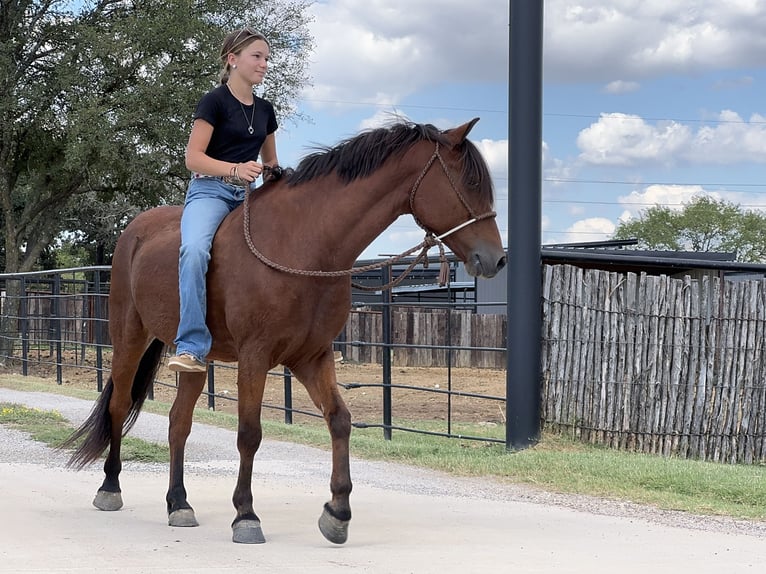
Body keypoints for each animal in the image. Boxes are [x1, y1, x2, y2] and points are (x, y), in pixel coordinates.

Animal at [63, 117, 507, 545]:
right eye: (469, 183)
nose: (496, 260)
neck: (303, 244)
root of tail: (134, 232)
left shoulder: (312, 356)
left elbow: (339, 420)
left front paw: (337, 514)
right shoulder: (255, 356)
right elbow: (249, 433)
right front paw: (246, 516)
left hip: (195, 357)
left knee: (178, 423)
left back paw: (179, 504)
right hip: (130, 338)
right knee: (120, 406)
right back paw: (110, 488)